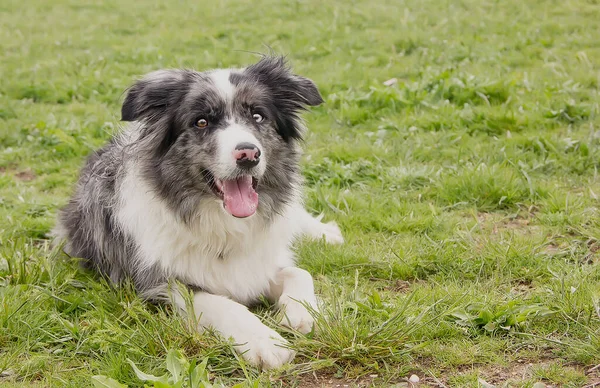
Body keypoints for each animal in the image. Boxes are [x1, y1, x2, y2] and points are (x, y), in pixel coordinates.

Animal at [54, 56, 344, 370]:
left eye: (258, 116)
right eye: (201, 122)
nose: (248, 154)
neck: (224, 224)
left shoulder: (260, 263)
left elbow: (299, 272)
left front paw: (303, 314)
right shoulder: (157, 282)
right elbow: (221, 303)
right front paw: (264, 341)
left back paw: (325, 234)